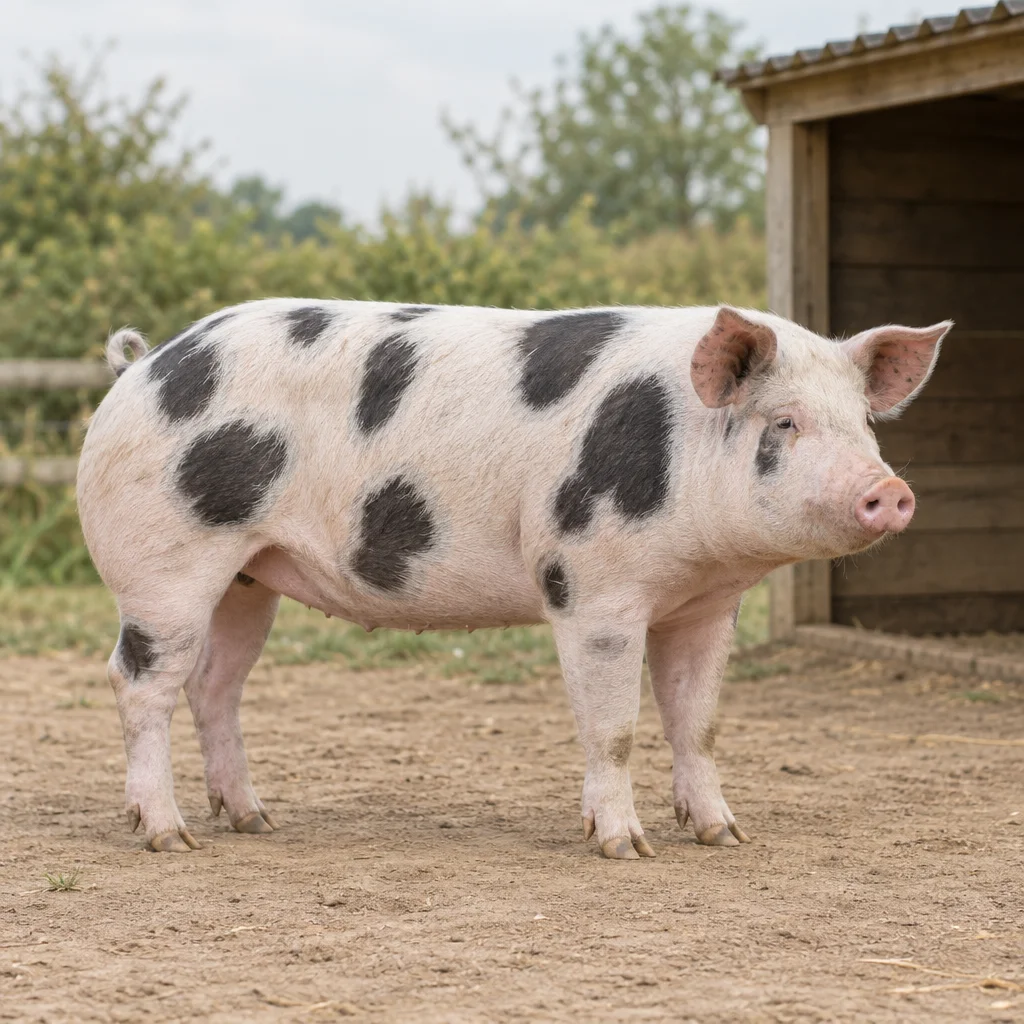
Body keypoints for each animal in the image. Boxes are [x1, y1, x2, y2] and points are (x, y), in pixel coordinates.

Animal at [76, 300, 949, 857]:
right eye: (785, 422)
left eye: (863, 424)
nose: (890, 489)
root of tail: (141, 368)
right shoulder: (592, 585)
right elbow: (615, 727)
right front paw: (625, 849)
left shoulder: (707, 608)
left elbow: (697, 724)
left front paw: (725, 836)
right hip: (165, 560)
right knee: (138, 681)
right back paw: (168, 837)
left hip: (247, 577)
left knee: (213, 686)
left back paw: (255, 821)